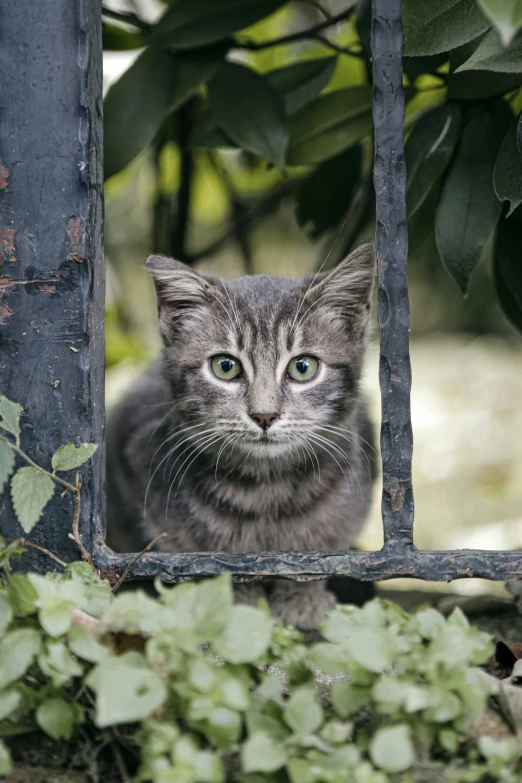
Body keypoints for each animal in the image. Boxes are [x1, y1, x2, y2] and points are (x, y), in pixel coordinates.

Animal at [106, 242, 374, 628]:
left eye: (303, 367)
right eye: (225, 366)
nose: (264, 414)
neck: (266, 490)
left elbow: (318, 553)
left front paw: (302, 597)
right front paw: (236, 604)